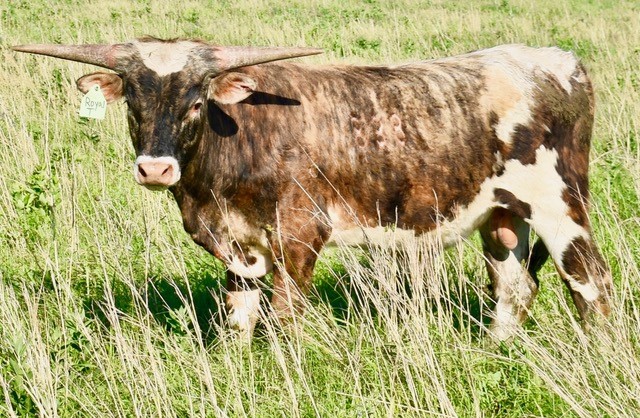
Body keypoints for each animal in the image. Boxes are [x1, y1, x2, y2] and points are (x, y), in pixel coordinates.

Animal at [13, 37, 612, 341]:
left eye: (196, 102)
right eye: (133, 103)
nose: (156, 169)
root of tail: (556, 60)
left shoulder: (299, 235)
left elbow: (286, 314)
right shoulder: (237, 242)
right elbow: (239, 312)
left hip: (561, 204)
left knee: (590, 283)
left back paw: (599, 353)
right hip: (501, 215)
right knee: (514, 284)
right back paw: (495, 349)